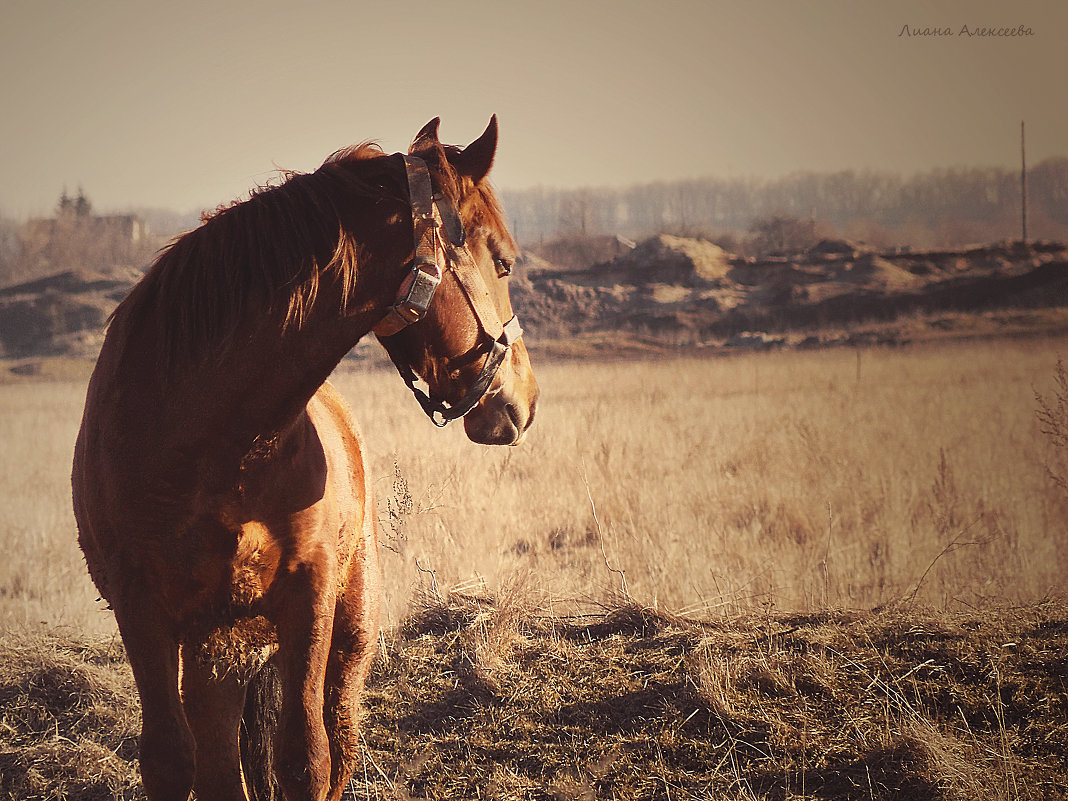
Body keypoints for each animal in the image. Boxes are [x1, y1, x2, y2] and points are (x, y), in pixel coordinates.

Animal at [71, 115, 538, 798]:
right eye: (501, 260)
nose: (523, 399)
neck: (213, 444)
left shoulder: (309, 597)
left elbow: (305, 757)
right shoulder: (142, 608)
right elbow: (169, 761)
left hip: (346, 632)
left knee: (336, 740)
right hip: (214, 648)